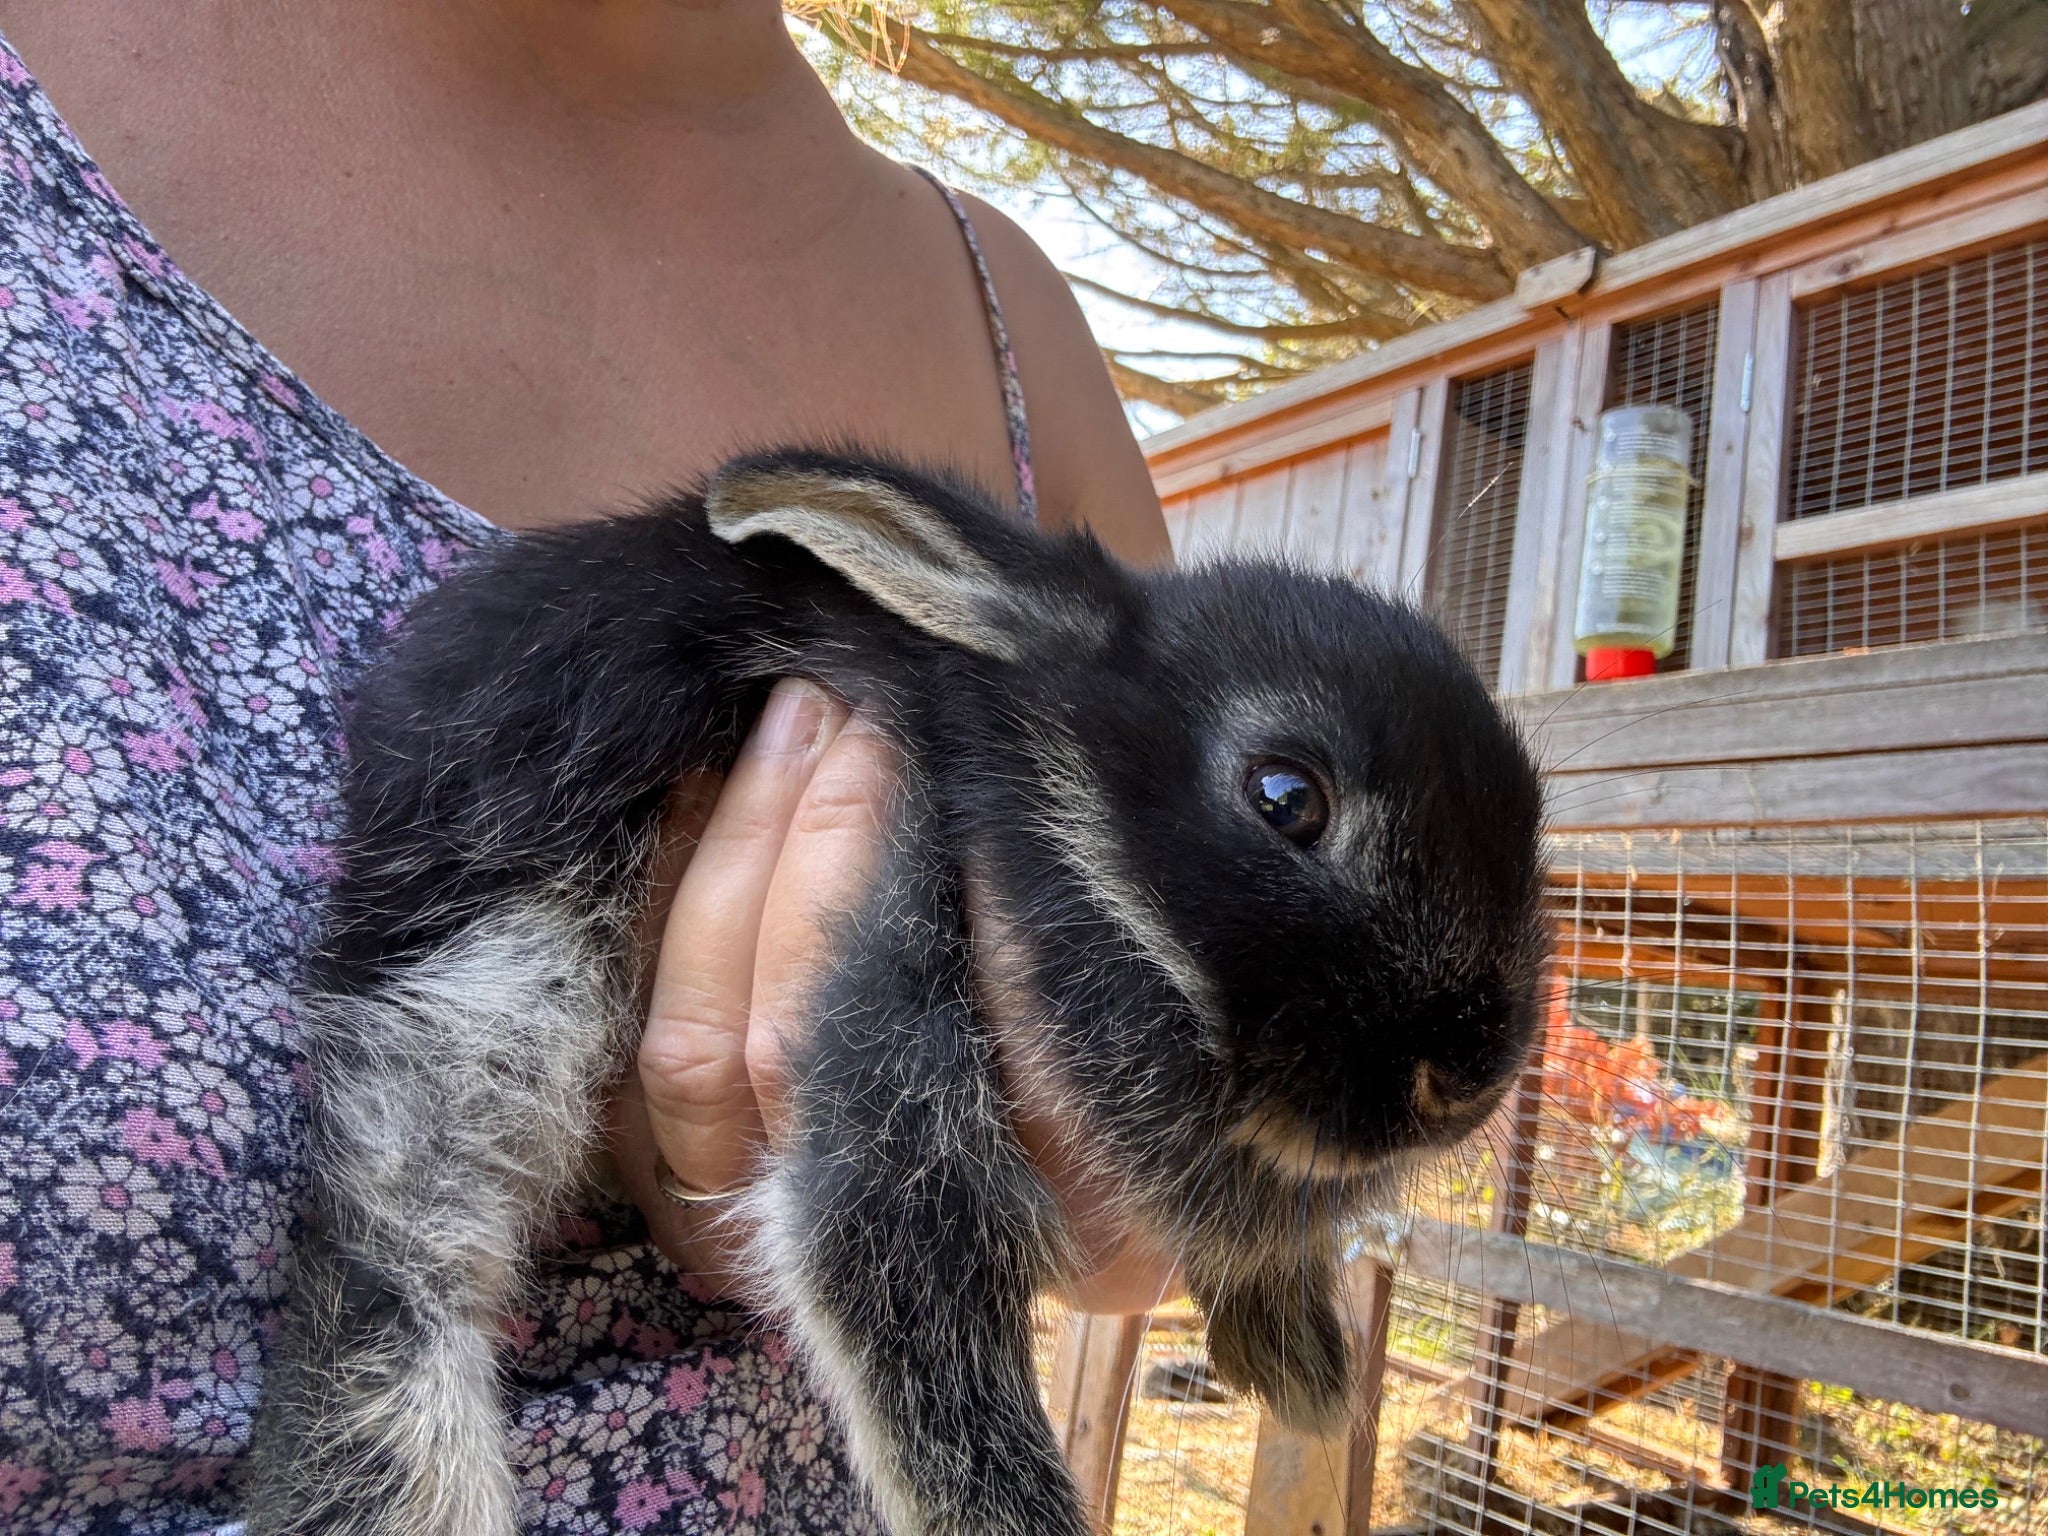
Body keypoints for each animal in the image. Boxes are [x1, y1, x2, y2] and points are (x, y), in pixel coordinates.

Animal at [246, 448, 1549, 1536]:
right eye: (1285, 796)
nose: (1466, 1077)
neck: (1053, 795)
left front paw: (1297, 1362)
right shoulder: (897, 1006)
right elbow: (908, 1304)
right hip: (501, 946)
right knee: (394, 1254)